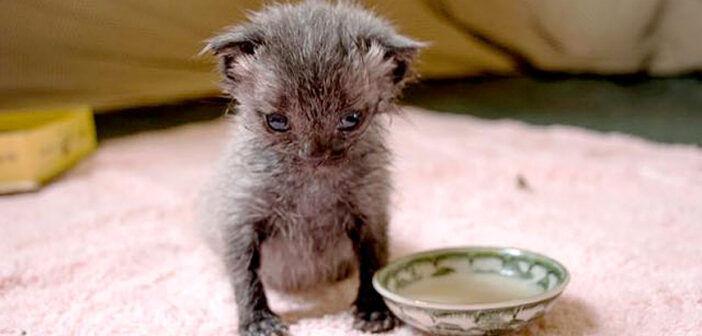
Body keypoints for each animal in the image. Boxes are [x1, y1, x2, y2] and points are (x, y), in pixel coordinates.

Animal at [204, 1, 424, 334]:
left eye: (351, 119)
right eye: (276, 122)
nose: (316, 155)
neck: (311, 185)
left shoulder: (371, 210)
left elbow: (373, 260)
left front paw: (373, 309)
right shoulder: (239, 216)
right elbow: (245, 274)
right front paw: (257, 320)